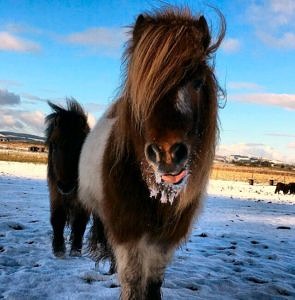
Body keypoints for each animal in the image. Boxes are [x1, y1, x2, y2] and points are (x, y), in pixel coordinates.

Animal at [45, 99, 90, 258]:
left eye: (80, 146)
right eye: (53, 143)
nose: (66, 186)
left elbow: (80, 222)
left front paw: (76, 250)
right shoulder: (55, 192)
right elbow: (57, 218)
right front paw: (58, 248)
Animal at [78, 7, 227, 300]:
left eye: (197, 82)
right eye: (141, 86)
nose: (167, 154)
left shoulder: (165, 238)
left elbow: (154, 280)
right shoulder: (127, 232)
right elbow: (133, 280)